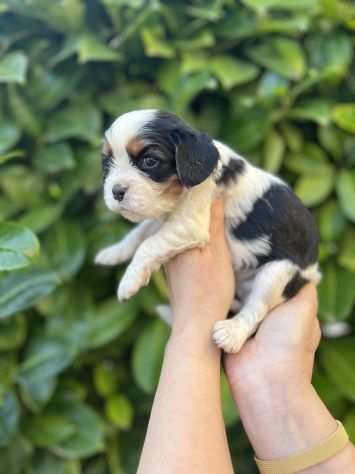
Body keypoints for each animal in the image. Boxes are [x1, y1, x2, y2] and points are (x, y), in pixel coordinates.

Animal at [95, 110, 322, 352]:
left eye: (149, 161)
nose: (116, 191)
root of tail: (313, 272)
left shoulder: (190, 224)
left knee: (256, 308)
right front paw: (113, 252)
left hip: (277, 273)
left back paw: (231, 334)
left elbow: (149, 244)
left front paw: (129, 281)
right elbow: (139, 232)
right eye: (107, 164)